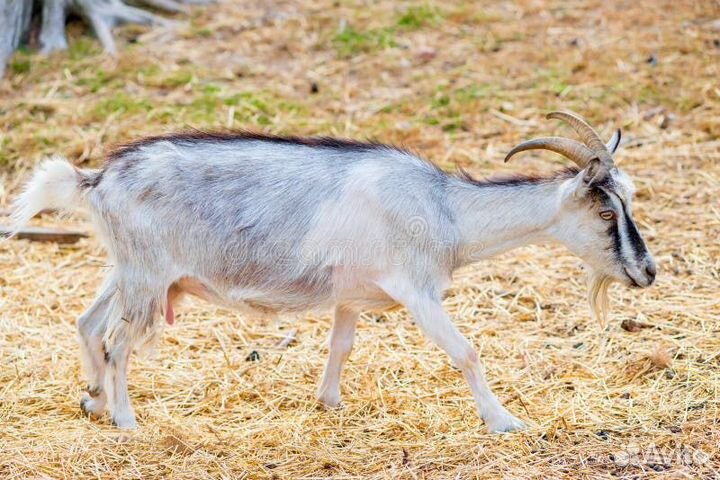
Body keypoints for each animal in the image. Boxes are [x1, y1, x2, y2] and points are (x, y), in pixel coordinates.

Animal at [8, 111, 656, 432]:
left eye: (628, 199)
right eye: (604, 210)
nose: (646, 272)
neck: (446, 210)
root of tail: (97, 179)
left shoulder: (351, 294)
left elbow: (340, 346)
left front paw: (330, 404)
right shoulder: (418, 291)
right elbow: (466, 352)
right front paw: (504, 421)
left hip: (133, 272)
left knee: (88, 323)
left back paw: (94, 401)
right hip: (146, 278)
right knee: (117, 342)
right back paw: (125, 419)